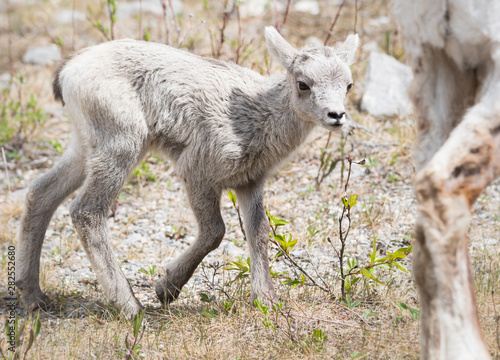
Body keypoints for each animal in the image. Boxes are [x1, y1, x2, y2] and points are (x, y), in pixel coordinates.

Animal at [16, 26, 360, 316]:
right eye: (303, 84)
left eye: (348, 84)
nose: (336, 115)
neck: (256, 118)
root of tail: (68, 72)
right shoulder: (197, 171)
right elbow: (214, 231)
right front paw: (166, 289)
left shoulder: (250, 182)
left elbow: (259, 232)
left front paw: (266, 301)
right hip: (121, 143)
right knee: (86, 211)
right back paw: (130, 306)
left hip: (85, 143)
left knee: (41, 192)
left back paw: (33, 295)